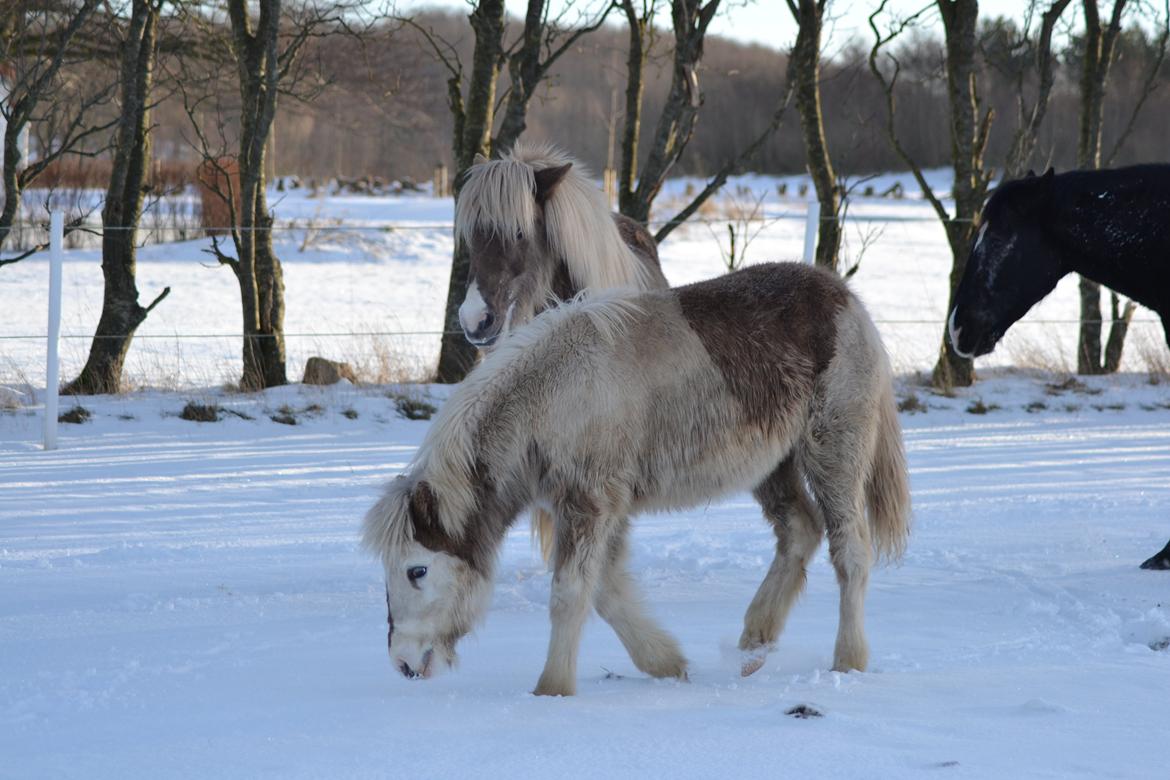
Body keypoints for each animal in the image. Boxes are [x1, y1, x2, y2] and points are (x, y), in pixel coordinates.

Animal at [360, 261, 907, 696]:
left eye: (416, 570)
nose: (403, 662)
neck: (548, 395)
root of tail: (843, 296)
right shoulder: (600, 509)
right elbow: (606, 593)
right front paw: (666, 663)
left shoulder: (591, 503)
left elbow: (569, 595)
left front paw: (551, 690)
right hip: (773, 465)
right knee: (799, 531)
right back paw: (756, 638)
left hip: (833, 450)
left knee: (850, 551)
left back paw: (848, 660)